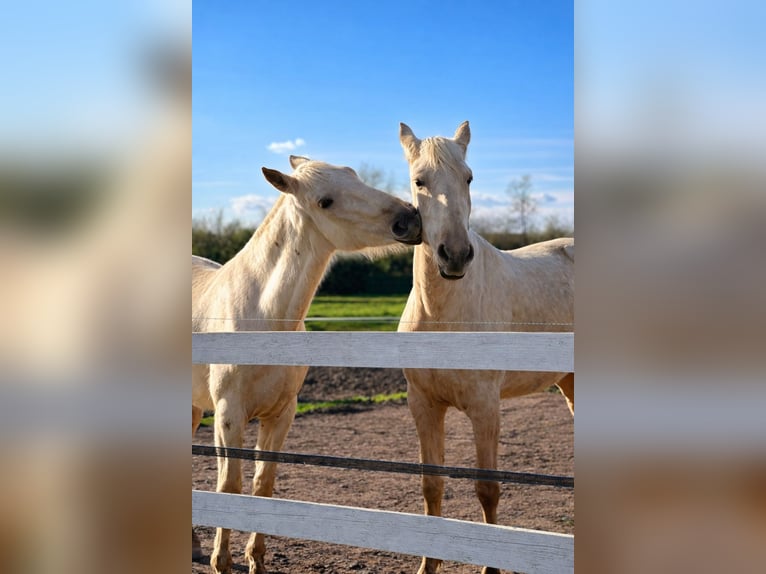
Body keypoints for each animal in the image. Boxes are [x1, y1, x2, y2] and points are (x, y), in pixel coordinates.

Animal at [192, 155, 422, 574]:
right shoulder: (228, 414)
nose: (409, 218)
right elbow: (229, 485)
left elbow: (262, 483)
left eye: (355, 177)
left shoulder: (281, 414)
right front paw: (222, 561)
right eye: (324, 201)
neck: (261, 313)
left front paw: (255, 560)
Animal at [397, 122, 573, 574]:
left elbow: (487, 489)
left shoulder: (485, 408)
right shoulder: (424, 405)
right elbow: (432, 485)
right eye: (419, 180)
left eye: (469, 178)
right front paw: (428, 564)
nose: (456, 255)